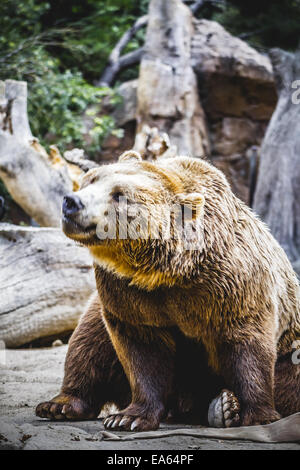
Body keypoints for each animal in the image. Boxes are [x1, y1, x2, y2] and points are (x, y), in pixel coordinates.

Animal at [36, 152, 300, 432]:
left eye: (120, 195)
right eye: (91, 179)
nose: (72, 201)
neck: (167, 272)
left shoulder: (231, 284)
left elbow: (247, 341)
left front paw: (259, 416)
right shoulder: (128, 292)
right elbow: (141, 350)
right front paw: (128, 418)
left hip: (291, 349)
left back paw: (225, 407)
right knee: (89, 339)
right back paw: (60, 405)